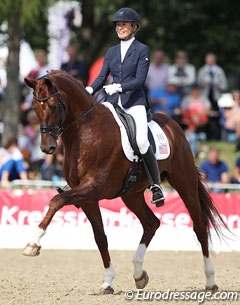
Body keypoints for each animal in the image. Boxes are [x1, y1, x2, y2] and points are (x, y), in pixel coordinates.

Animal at [23, 70, 226, 294]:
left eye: (52, 106)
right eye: (34, 107)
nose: (47, 148)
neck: (84, 132)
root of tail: (175, 125)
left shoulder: (93, 188)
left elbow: (56, 201)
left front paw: (33, 243)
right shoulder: (87, 197)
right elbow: (100, 237)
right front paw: (108, 281)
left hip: (184, 182)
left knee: (199, 225)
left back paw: (210, 280)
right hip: (132, 195)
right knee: (151, 223)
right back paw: (139, 274)